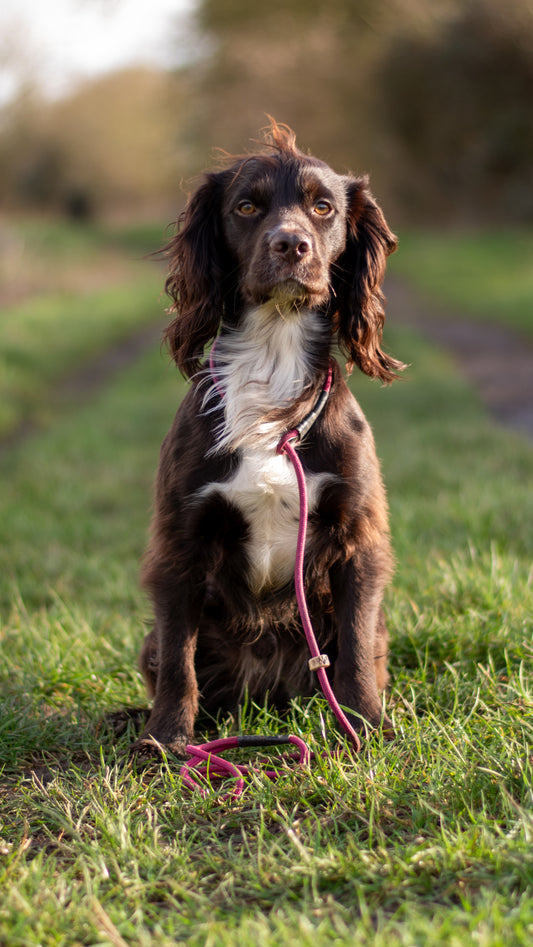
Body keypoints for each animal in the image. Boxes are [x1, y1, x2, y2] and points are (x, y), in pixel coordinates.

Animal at [131, 120, 402, 756]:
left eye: (323, 207)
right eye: (247, 207)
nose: (291, 246)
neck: (273, 360)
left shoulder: (358, 540)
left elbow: (354, 649)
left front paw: (364, 728)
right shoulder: (179, 542)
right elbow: (178, 662)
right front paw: (166, 743)